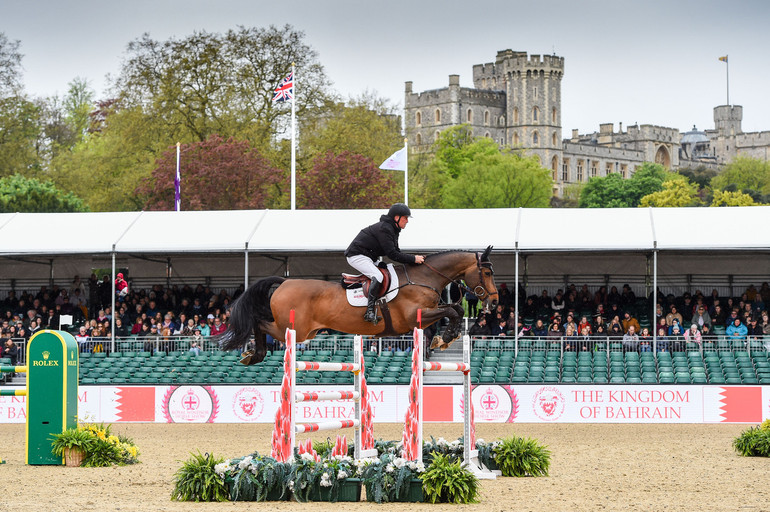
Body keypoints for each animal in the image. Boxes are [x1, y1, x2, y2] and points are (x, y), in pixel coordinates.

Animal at [219, 245, 498, 362]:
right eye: (486, 272)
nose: (495, 301)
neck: (423, 278)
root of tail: (285, 282)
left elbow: (456, 309)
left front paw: (445, 338)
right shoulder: (414, 317)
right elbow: (452, 309)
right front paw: (445, 337)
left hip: (304, 331)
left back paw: (253, 354)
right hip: (293, 329)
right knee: (259, 323)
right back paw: (254, 355)